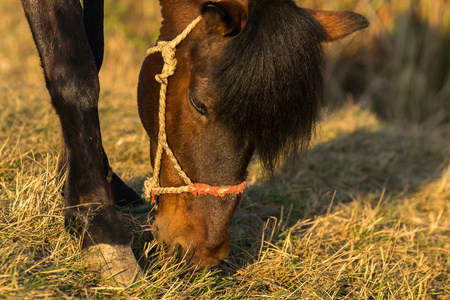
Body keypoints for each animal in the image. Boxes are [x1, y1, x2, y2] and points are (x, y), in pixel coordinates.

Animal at [19, 0, 368, 286]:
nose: (204, 252)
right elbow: (77, 72)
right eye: (199, 104)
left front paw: (70, 182)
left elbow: (95, 49)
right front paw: (96, 223)